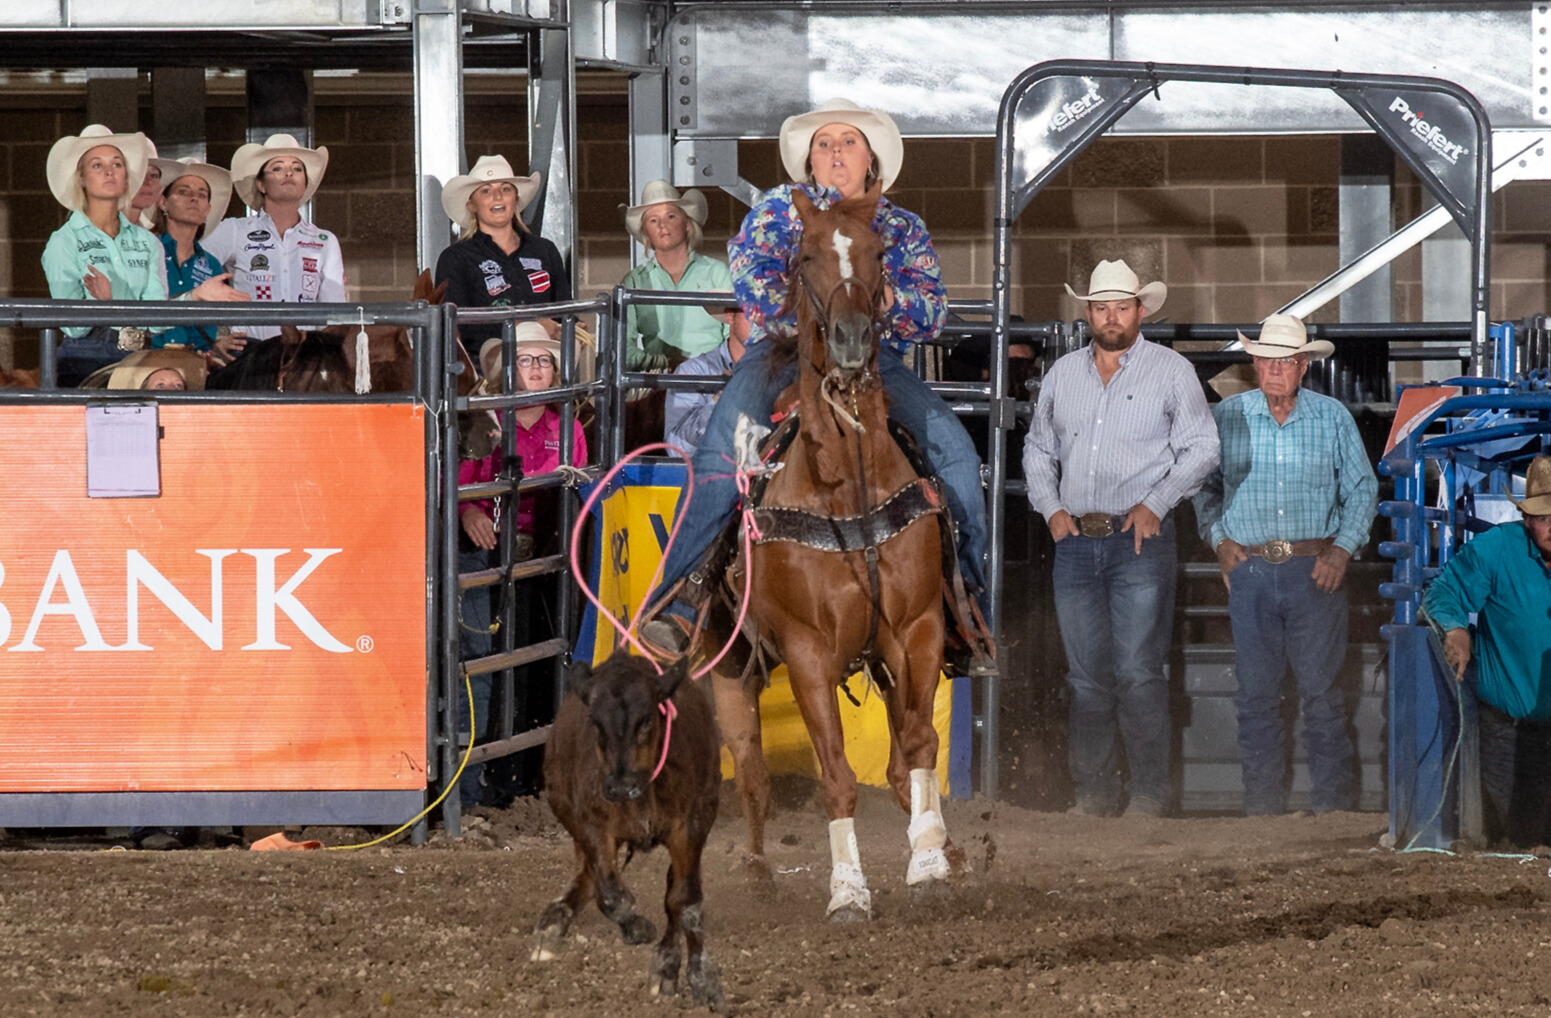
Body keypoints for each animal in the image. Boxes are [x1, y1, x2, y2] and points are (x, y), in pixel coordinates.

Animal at [533, 651, 725, 1011]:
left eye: (647, 719)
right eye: (595, 722)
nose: (622, 786)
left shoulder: (692, 826)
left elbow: (685, 902)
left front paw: (701, 978)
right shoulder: (591, 822)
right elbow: (610, 893)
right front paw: (637, 928)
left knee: (672, 894)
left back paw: (666, 964)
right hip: (564, 807)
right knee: (590, 874)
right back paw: (553, 923)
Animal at [710, 184, 955, 924]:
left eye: (877, 253)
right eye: (807, 256)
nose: (849, 341)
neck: (845, 484)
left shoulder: (916, 630)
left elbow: (918, 747)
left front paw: (931, 860)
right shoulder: (807, 651)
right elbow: (836, 777)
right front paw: (848, 889)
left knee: (899, 760)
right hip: (729, 668)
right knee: (753, 774)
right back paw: (758, 870)